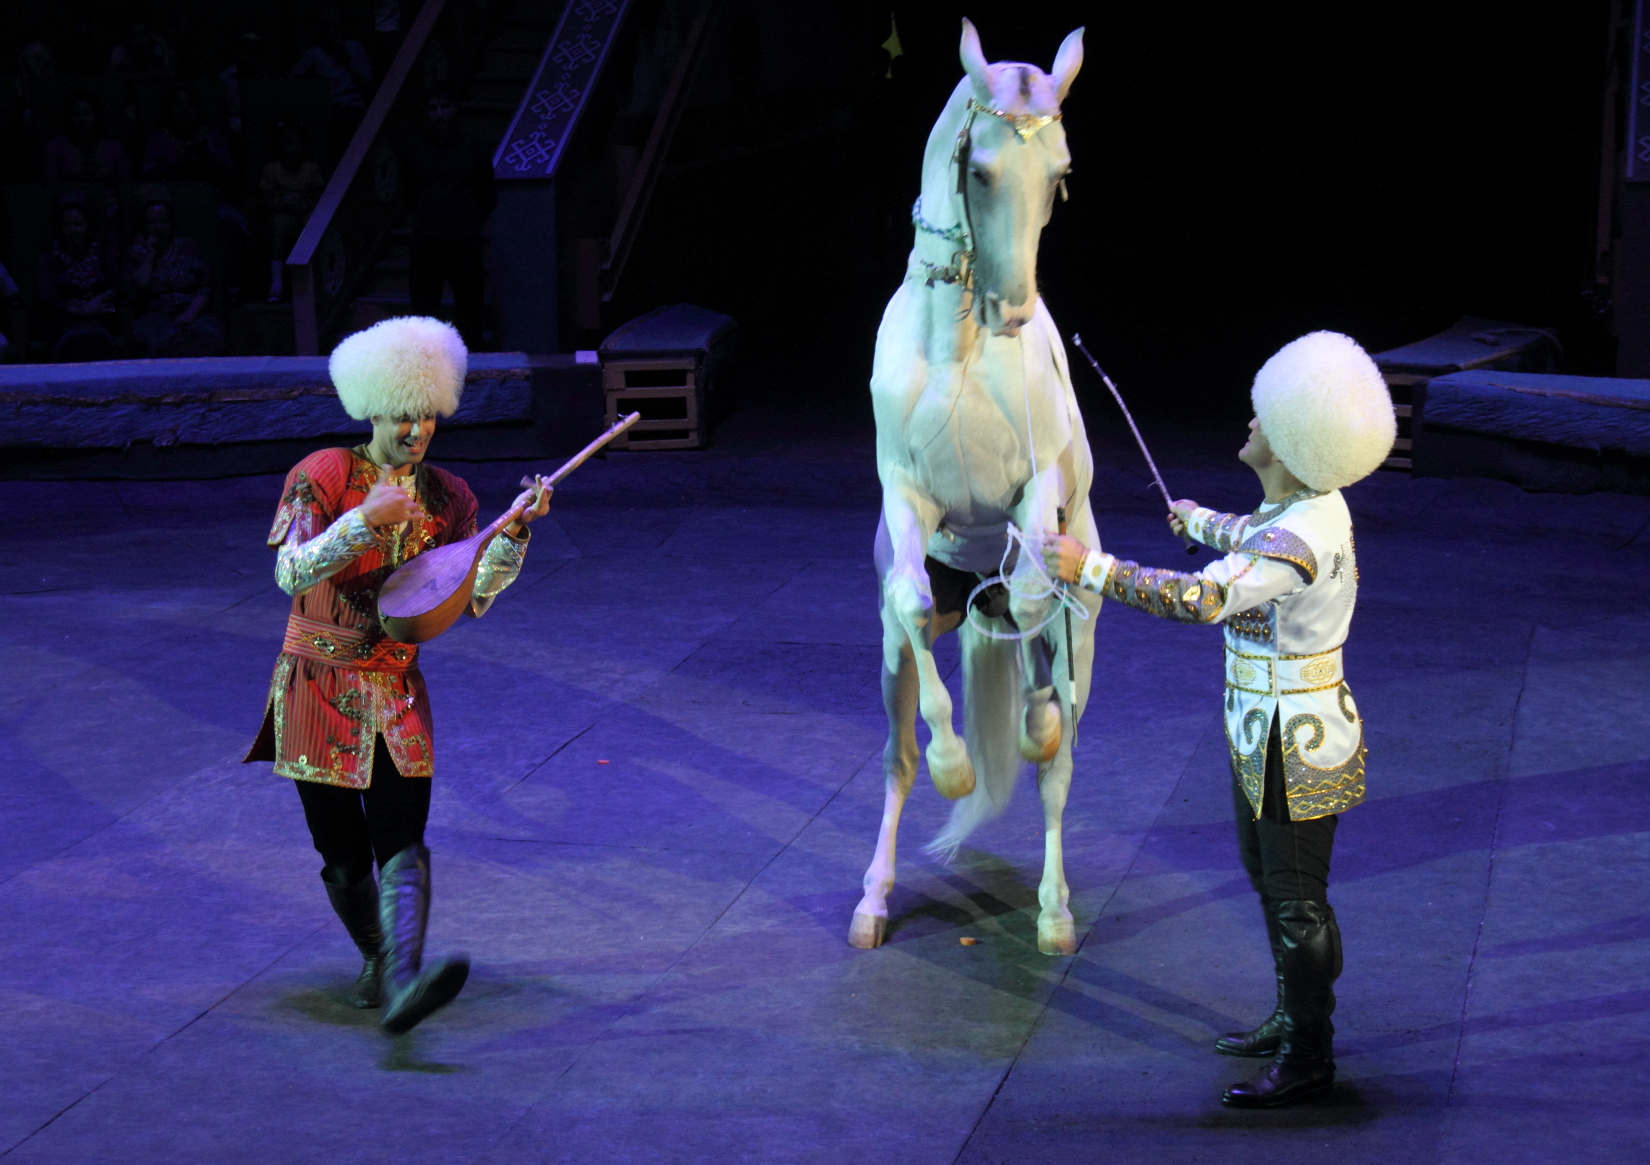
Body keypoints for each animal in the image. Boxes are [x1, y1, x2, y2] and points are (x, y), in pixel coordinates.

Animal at [851, 20, 1095, 950]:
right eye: (981, 170)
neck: (957, 343)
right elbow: (913, 598)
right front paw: (956, 767)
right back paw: (874, 896)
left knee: (1056, 760)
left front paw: (1035, 722)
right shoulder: (906, 497)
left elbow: (1028, 598)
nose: (1013, 312)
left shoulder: (1037, 486)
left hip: (1081, 632)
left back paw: (1055, 908)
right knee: (898, 754)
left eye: (1059, 175)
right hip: (896, 654)